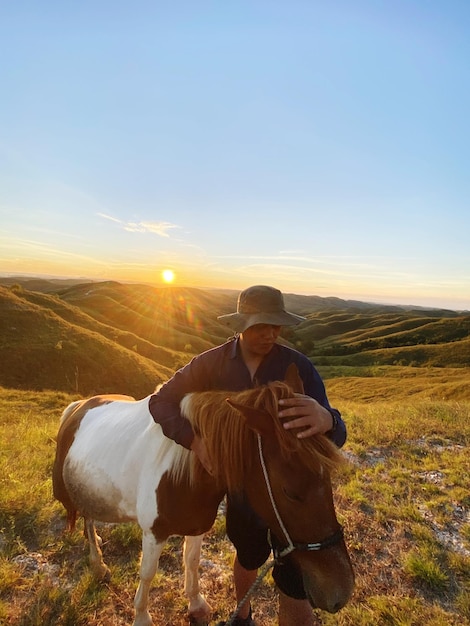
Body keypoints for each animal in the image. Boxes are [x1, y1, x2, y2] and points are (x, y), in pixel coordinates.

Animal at [52, 364, 352, 624]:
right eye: (290, 492)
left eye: (328, 478)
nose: (341, 592)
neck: (184, 471)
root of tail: (80, 405)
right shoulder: (154, 532)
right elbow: (147, 574)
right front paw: (142, 617)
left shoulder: (197, 525)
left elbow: (192, 561)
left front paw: (196, 603)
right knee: (87, 519)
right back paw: (98, 564)